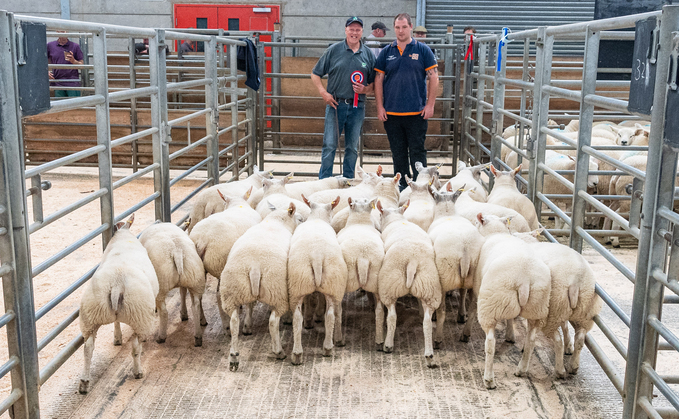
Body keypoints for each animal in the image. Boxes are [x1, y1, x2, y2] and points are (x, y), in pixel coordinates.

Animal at [79, 215, 159, 396]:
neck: (123, 237)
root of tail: (117, 284)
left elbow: (116, 322)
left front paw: (117, 338)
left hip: (91, 315)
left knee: (88, 348)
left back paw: (84, 383)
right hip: (140, 317)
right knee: (136, 346)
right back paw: (138, 372)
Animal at [222, 203, 298, 370]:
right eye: (300, 218)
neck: (276, 222)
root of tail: (254, 267)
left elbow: (250, 305)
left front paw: (248, 326)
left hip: (232, 291)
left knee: (234, 322)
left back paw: (233, 357)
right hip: (278, 292)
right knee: (273, 321)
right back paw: (279, 352)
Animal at [290, 196, 348, 364]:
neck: (317, 218)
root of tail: (316, 255)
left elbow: (310, 300)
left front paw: (310, 319)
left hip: (299, 284)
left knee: (297, 318)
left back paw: (298, 354)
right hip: (331, 285)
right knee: (330, 316)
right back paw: (327, 348)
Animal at [338, 199, 386, 350]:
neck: (360, 222)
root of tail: (362, 257)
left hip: (345, 282)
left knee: (338, 310)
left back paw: (338, 339)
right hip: (376, 281)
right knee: (379, 311)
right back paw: (379, 341)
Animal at [378, 202, 440, 370]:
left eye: (380, 214)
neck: (397, 220)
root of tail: (412, 260)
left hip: (389, 286)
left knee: (392, 317)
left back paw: (388, 345)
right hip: (429, 287)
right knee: (427, 322)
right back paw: (429, 356)